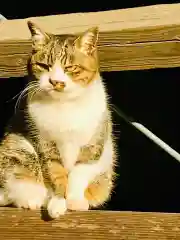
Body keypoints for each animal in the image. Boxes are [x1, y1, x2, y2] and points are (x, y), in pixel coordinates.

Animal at [0, 20, 117, 218]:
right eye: (43, 65)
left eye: (70, 68)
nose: (55, 81)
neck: (65, 105)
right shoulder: (46, 146)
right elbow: (56, 175)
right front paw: (57, 203)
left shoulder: (93, 144)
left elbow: (79, 173)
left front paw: (75, 200)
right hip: (17, 148)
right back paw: (31, 199)